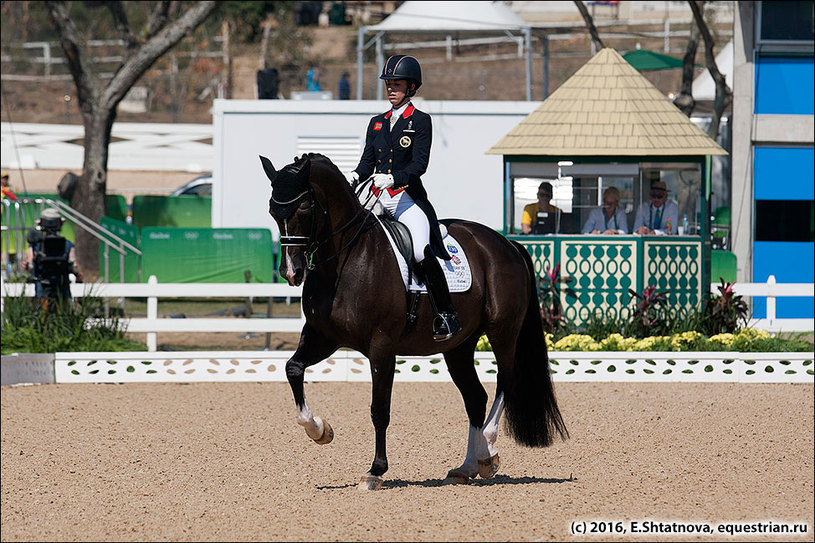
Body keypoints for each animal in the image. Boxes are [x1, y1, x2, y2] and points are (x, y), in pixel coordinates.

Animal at [262, 154, 568, 492]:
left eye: (304, 207)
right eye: (273, 209)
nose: (291, 272)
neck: (345, 260)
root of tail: (507, 243)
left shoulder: (382, 347)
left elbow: (379, 409)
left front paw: (375, 471)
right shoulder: (322, 337)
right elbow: (293, 368)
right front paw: (320, 430)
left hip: (502, 330)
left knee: (506, 380)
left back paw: (487, 453)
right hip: (459, 345)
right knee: (475, 397)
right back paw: (466, 467)